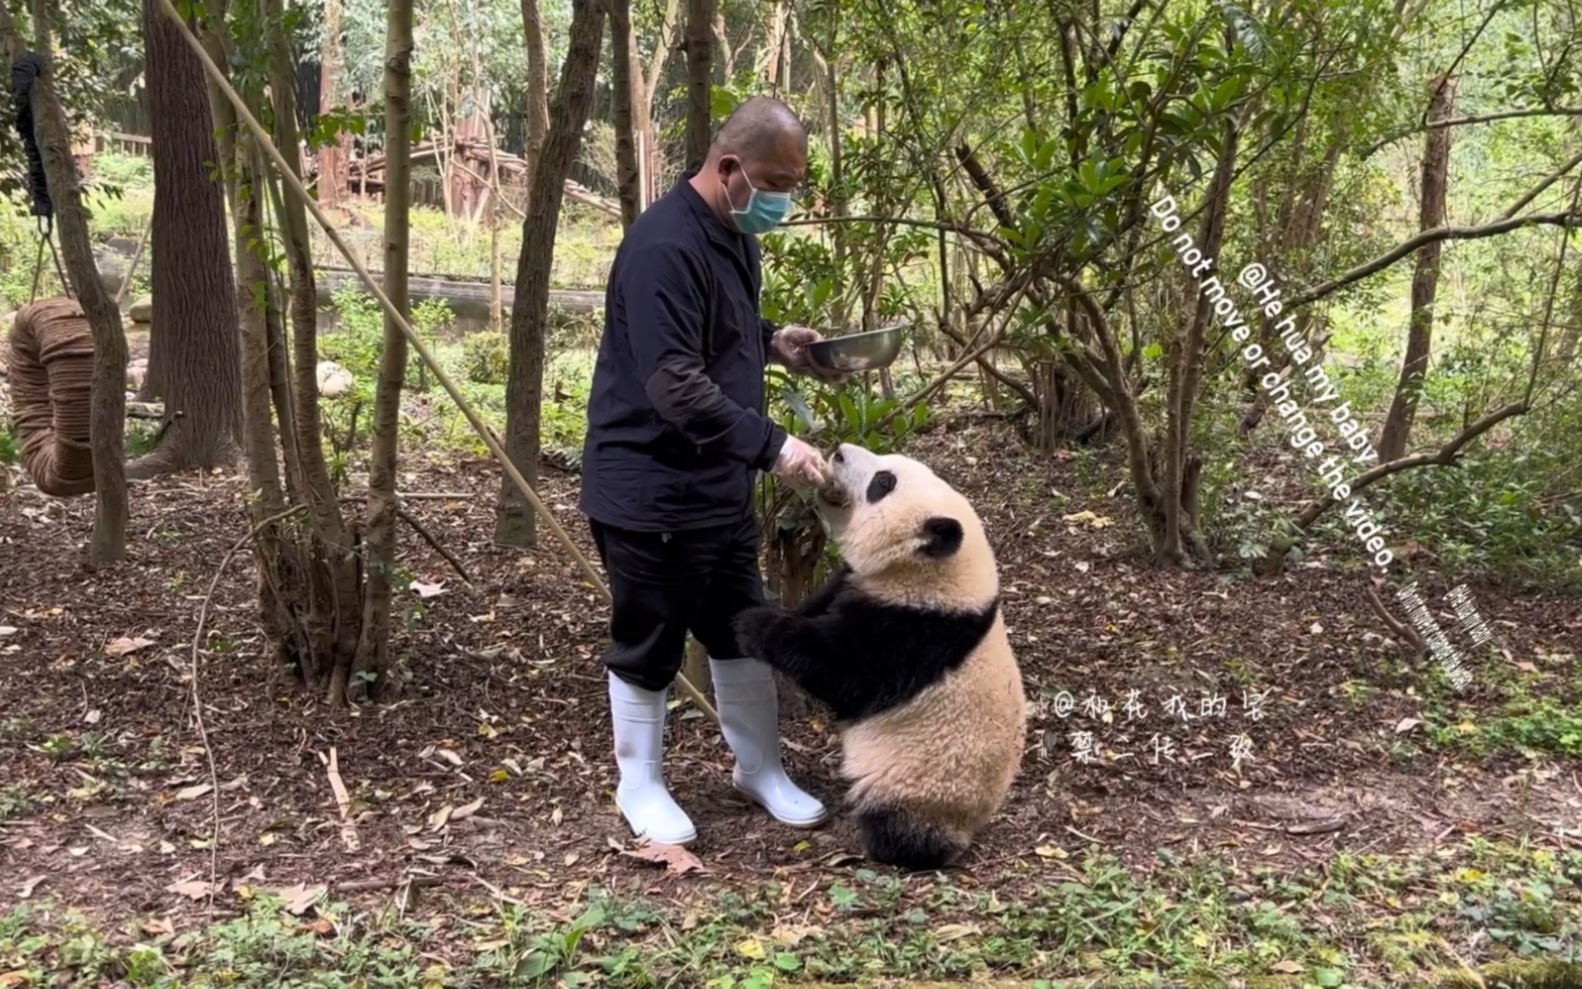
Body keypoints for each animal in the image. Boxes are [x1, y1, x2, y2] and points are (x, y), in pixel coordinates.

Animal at [730, 443, 1025, 867]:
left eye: (883, 482)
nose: (838, 452)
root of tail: (973, 825)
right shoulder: (861, 586)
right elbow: (819, 608)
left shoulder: (915, 629)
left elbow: (842, 671)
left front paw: (753, 625)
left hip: (921, 783)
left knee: (900, 822)